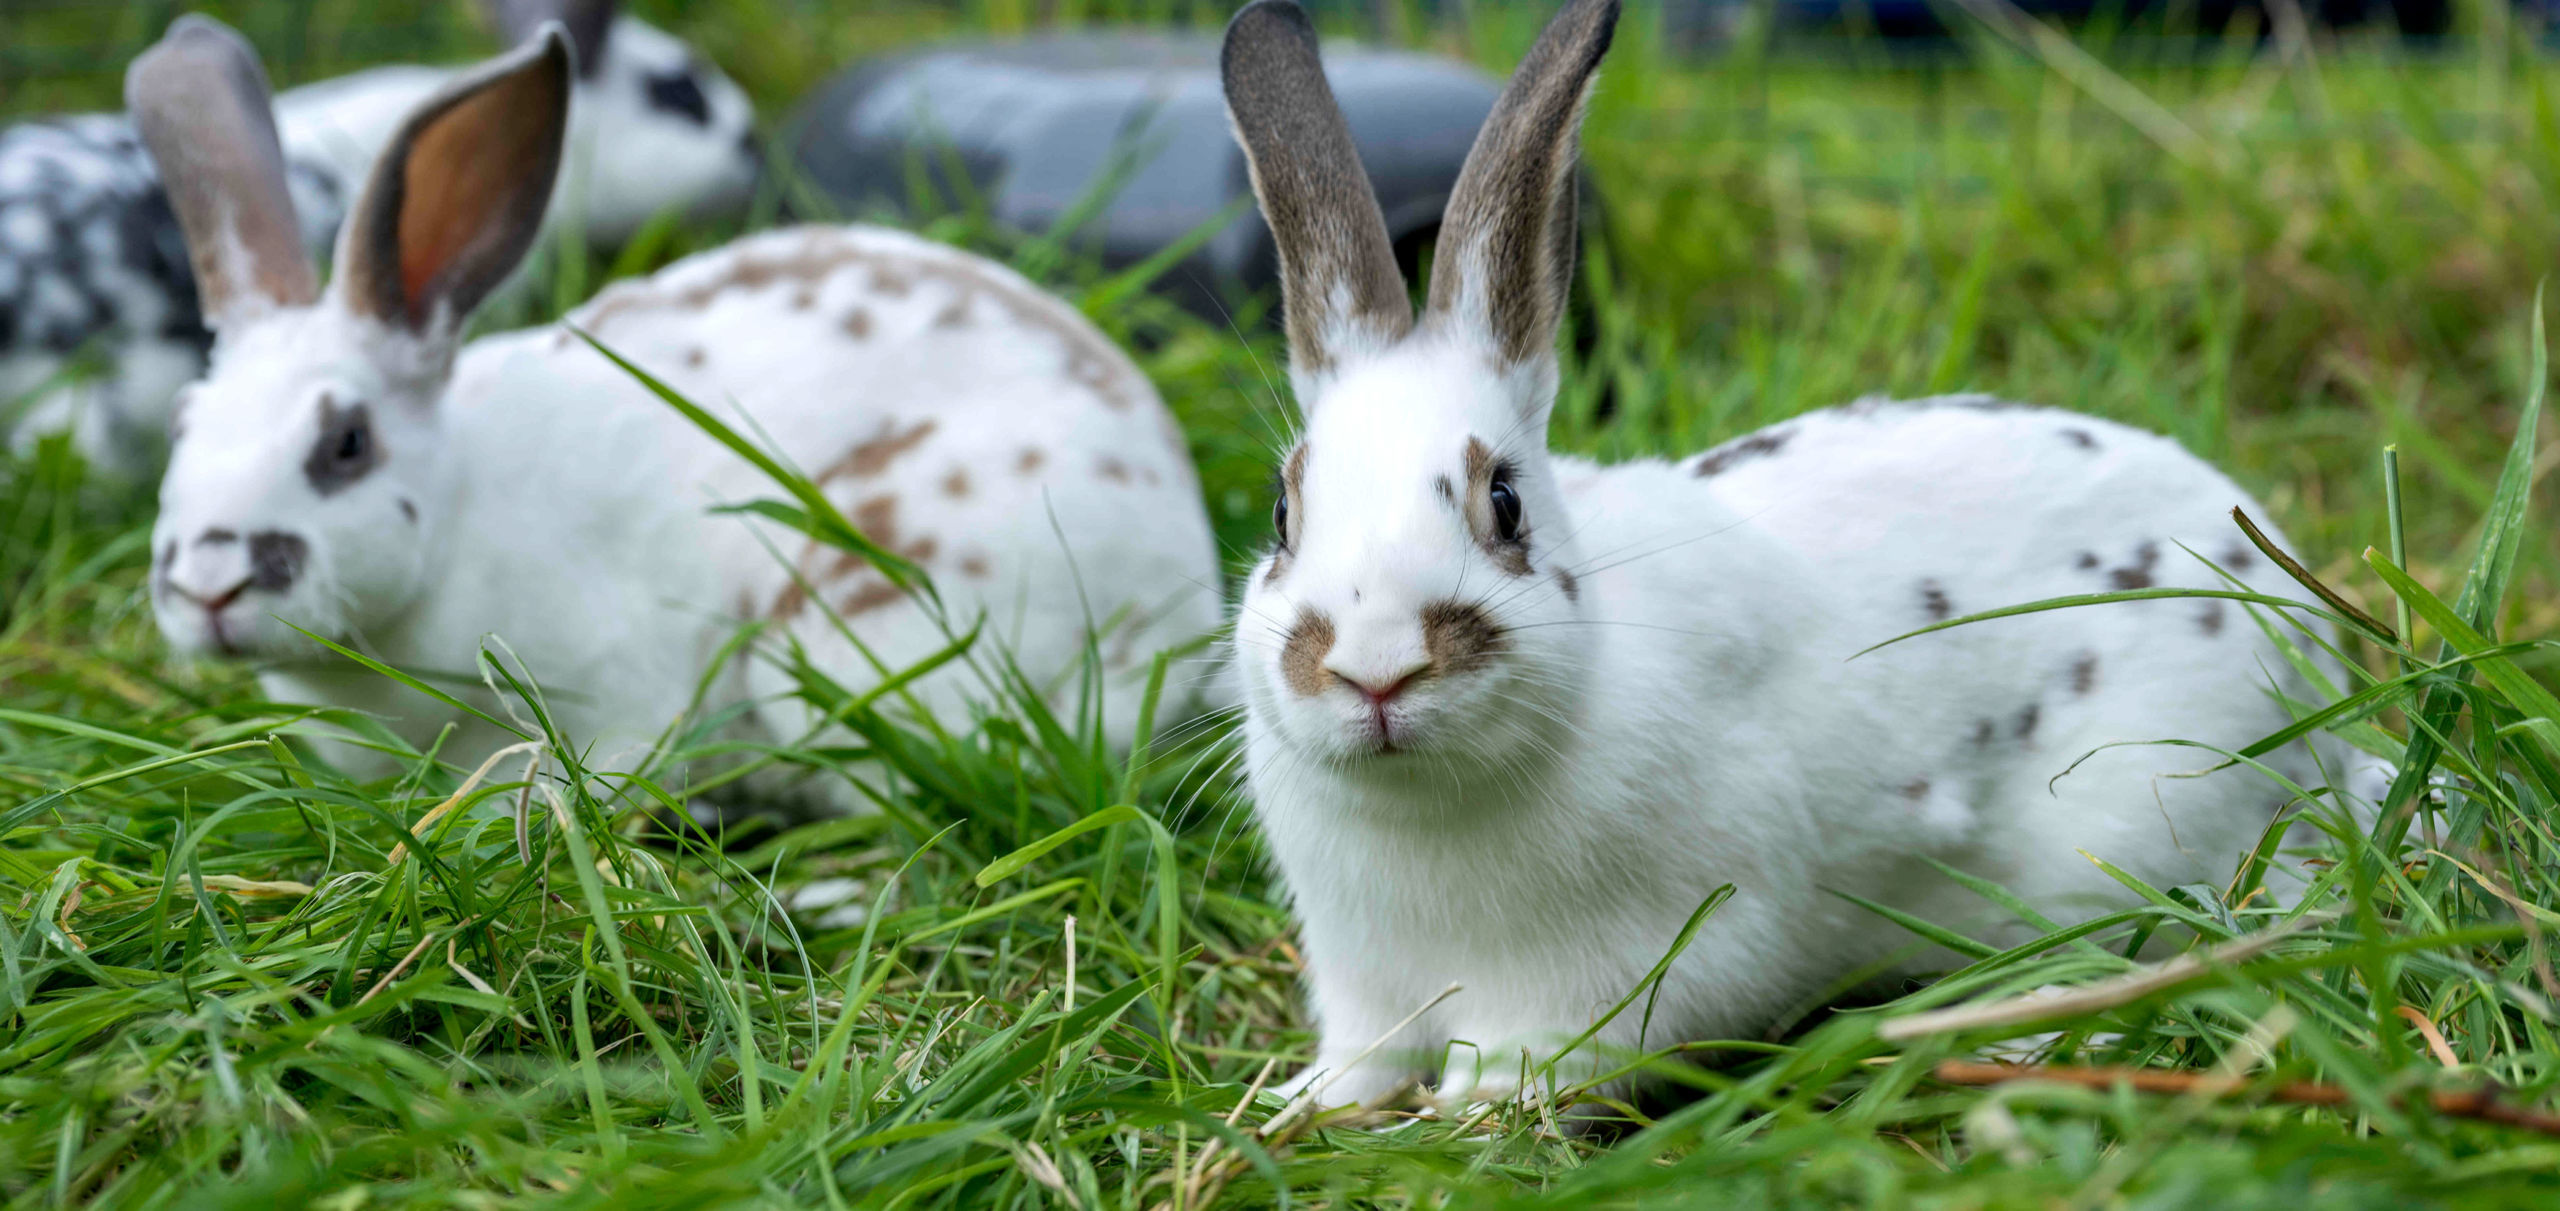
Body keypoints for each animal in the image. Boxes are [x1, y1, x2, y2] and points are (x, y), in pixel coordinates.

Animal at [129, 17, 1221, 811]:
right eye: (181, 426)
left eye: (347, 442)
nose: (209, 583)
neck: (457, 519)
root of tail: (1187, 588)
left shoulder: (616, 697)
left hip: (847, 637)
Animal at [1219, 0, 2369, 1109]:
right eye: (1281, 515)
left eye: (1503, 503)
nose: (1374, 670)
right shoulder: (1366, 986)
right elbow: (1363, 1060)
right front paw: (1303, 1105)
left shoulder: (1634, 967)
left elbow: (1536, 1065)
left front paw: (1472, 1114)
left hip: (2135, 833)